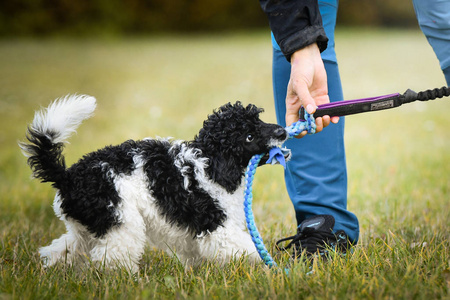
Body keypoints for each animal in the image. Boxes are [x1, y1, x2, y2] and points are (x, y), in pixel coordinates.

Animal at [19, 96, 286, 272]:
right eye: (248, 137)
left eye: (259, 120)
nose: (283, 132)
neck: (209, 161)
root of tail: (68, 176)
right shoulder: (216, 226)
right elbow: (246, 248)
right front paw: (269, 268)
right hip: (122, 222)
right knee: (112, 258)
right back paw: (129, 282)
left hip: (90, 225)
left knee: (62, 249)